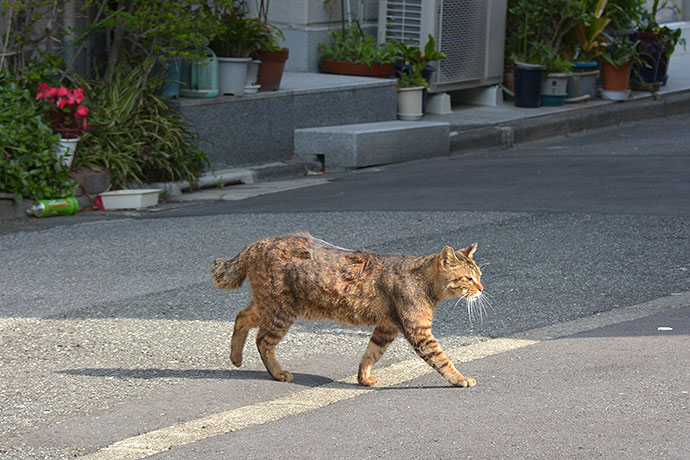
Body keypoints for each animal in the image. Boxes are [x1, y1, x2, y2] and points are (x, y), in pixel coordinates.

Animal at [212, 232, 482, 386]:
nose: (481, 288)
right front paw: (460, 378)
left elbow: (371, 354)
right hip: (281, 309)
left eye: (479, 275)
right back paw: (277, 373)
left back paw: (235, 357)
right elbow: (442, 359)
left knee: (241, 316)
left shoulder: (386, 328)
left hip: (269, 305)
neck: (422, 281)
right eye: (468, 278)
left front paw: (363, 377)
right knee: (263, 341)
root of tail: (263, 241)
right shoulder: (419, 332)